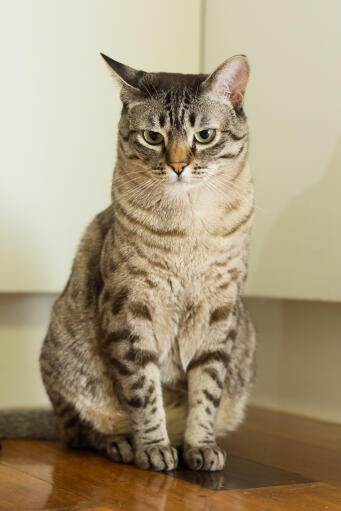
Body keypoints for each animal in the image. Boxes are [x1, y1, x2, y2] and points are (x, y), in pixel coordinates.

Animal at [1, 54, 255, 474]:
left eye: (204, 135)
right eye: (153, 137)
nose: (178, 166)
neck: (189, 227)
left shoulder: (220, 313)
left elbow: (206, 394)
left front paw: (200, 447)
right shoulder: (129, 308)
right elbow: (143, 393)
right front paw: (154, 449)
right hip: (67, 364)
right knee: (79, 434)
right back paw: (121, 444)